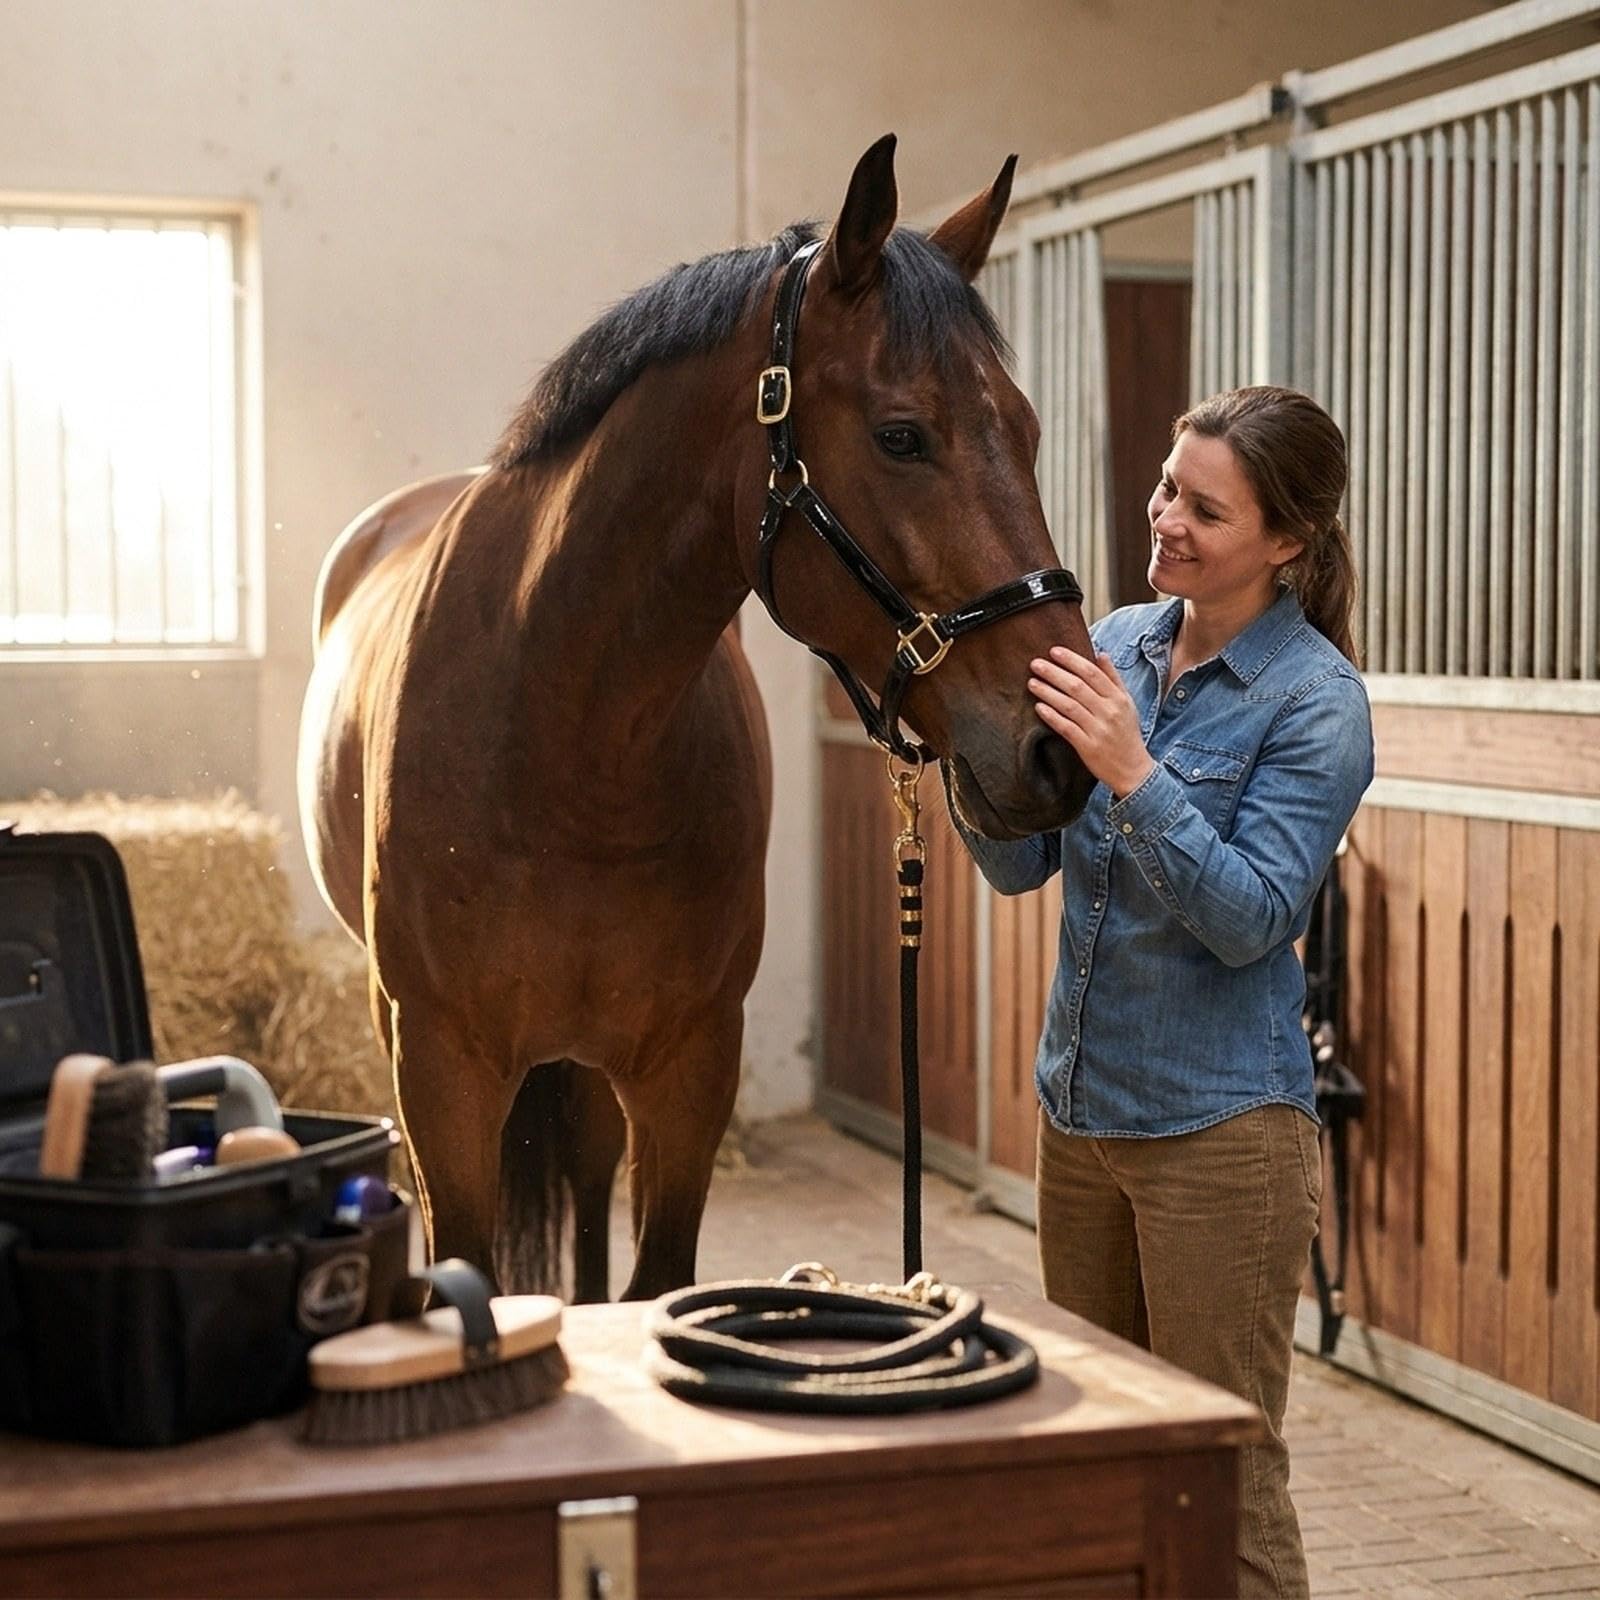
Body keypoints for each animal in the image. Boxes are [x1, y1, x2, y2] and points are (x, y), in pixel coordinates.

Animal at [296, 133, 1096, 1303]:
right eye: (902, 436)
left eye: (1030, 431)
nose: (1059, 750)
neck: (565, 741)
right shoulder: (439, 1066)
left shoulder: (689, 1066)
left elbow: (651, 1282)